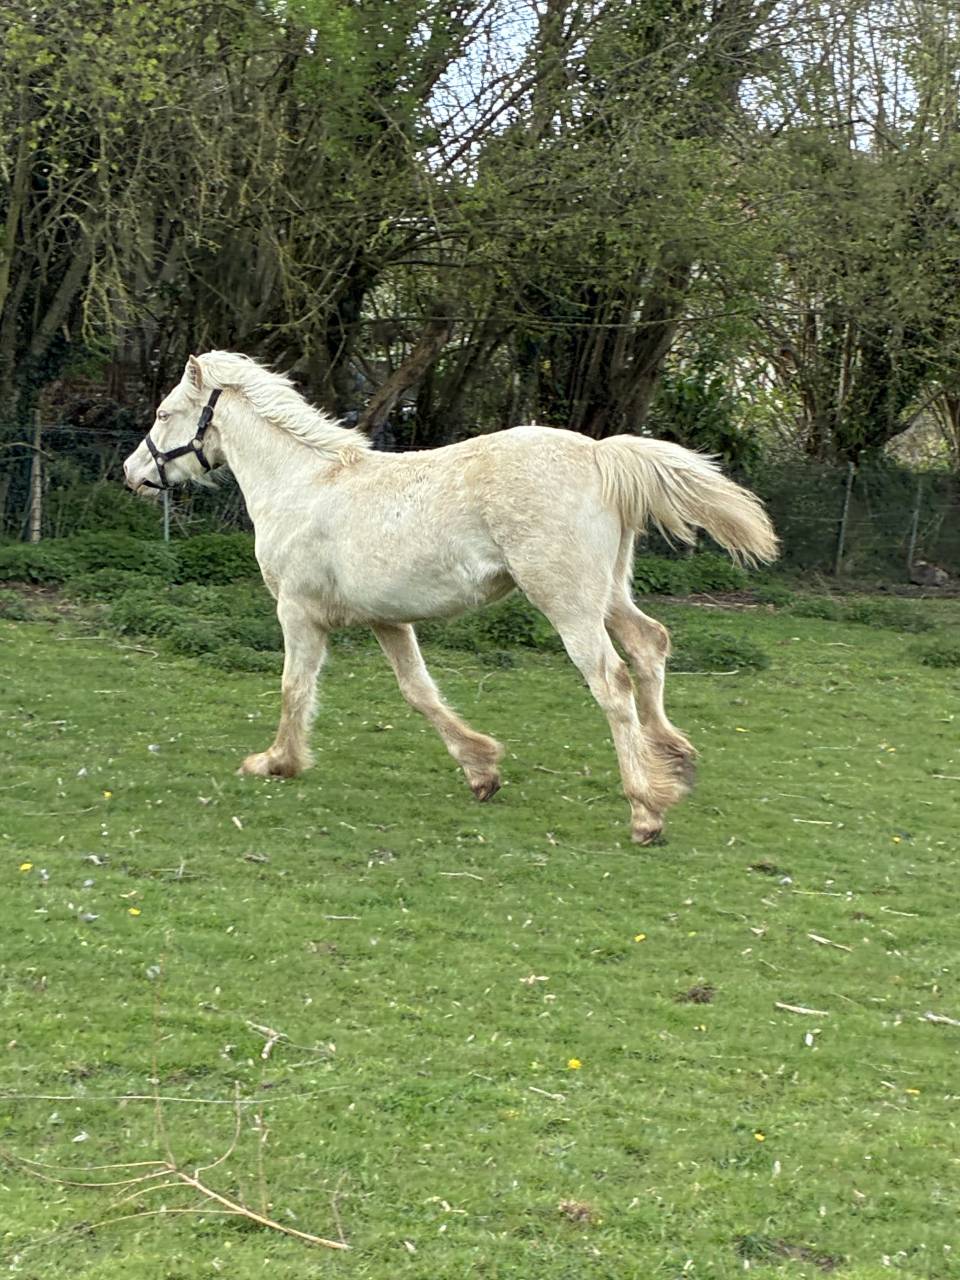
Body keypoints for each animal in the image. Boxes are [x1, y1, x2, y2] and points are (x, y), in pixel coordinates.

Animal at [123, 352, 778, 844]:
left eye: (163, 412)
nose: (132, 473)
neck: (305, 484)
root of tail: (598, 453)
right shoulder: (386, 620)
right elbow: (419, 692)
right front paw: (482, 769)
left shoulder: (299, 613)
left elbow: (294, 688)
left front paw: (276, 762)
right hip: (608, 593)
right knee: (650, 645)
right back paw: (675, 761)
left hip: (566, 600)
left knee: (612, 680)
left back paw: (646, 810)